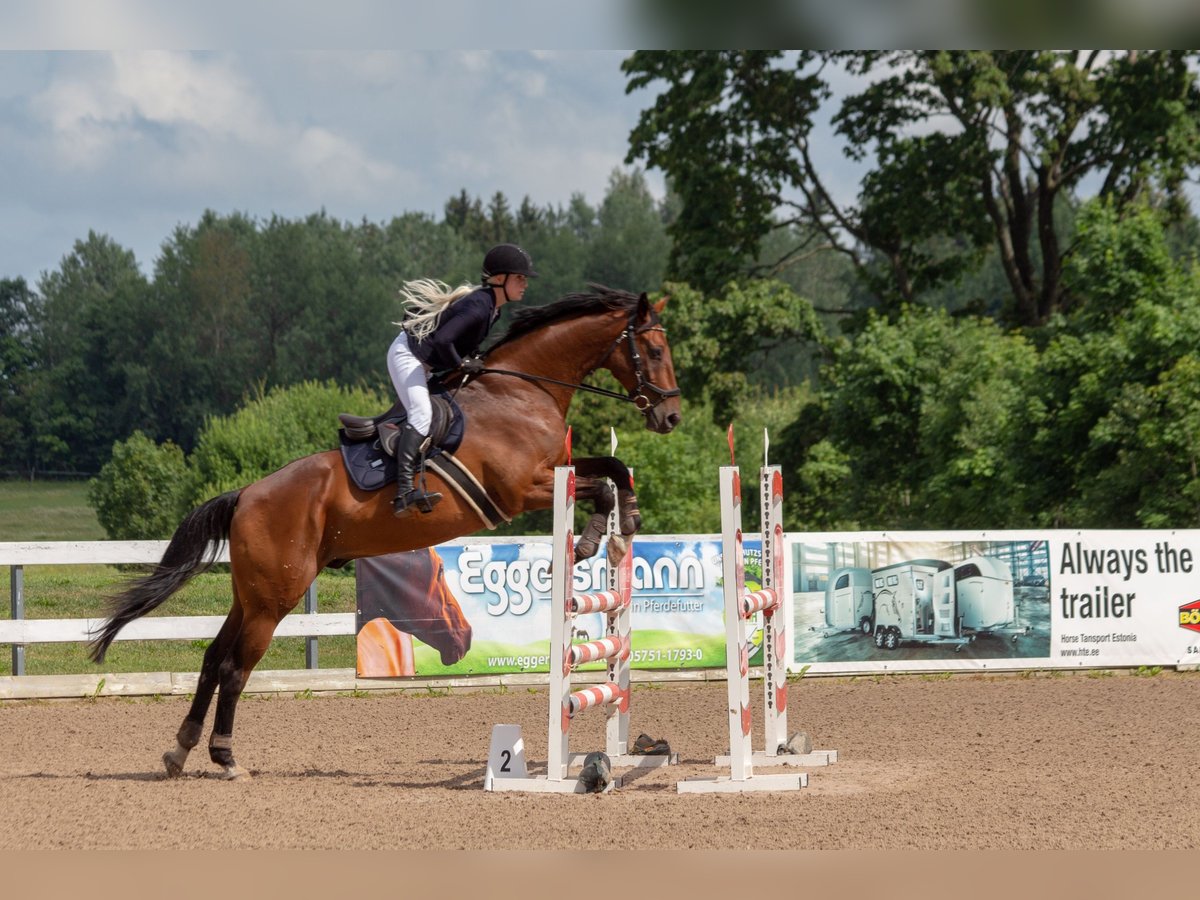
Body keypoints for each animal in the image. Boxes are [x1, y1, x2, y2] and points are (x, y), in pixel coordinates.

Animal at [87, 286, 681, 782]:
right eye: (653, 350)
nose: (671, 417)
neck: (523, 390)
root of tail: (247, 494)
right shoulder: (525, 489)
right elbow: (598, 486)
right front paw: (590, 539)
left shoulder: (557, 468)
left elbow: (613, 467)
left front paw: (626, 518)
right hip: (274, 597)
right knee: (235, 668)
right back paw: (227, 759)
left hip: (251, 594)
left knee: (213, 658)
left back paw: (179, 751)